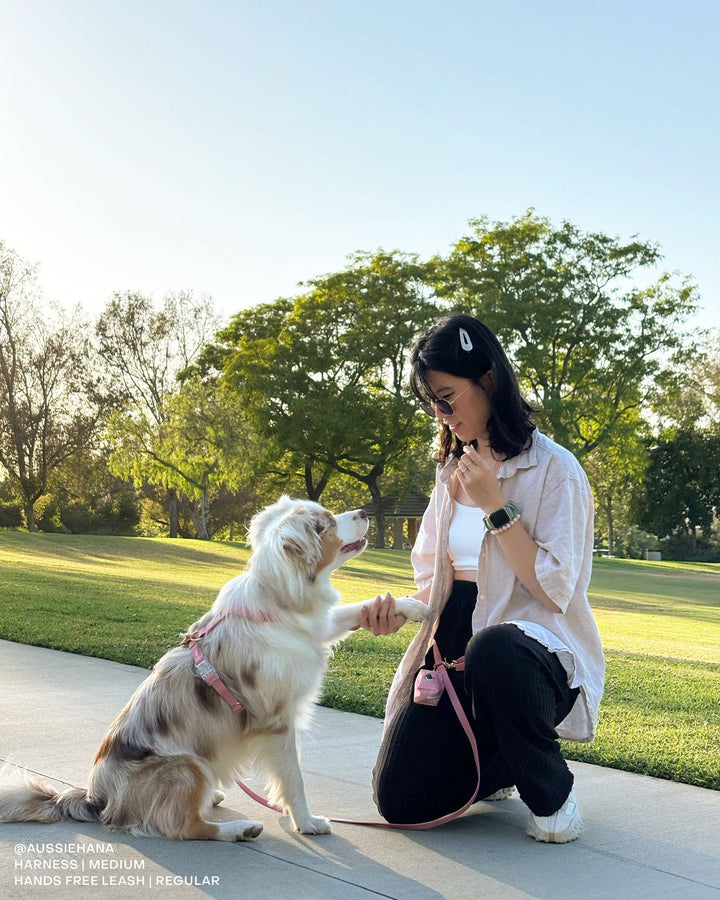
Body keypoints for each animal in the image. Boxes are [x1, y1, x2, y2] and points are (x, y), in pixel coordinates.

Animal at [0, 496, 428, 840]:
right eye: (324, 523)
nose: (364, 513)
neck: (280, 598)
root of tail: (95, 798)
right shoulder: (277, 720)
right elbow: (294, 779)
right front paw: (307, 822)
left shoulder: (313, 626)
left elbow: (354, 610)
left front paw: (415, 607)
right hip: (187, 765)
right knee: (183, 827)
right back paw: (239, 829)